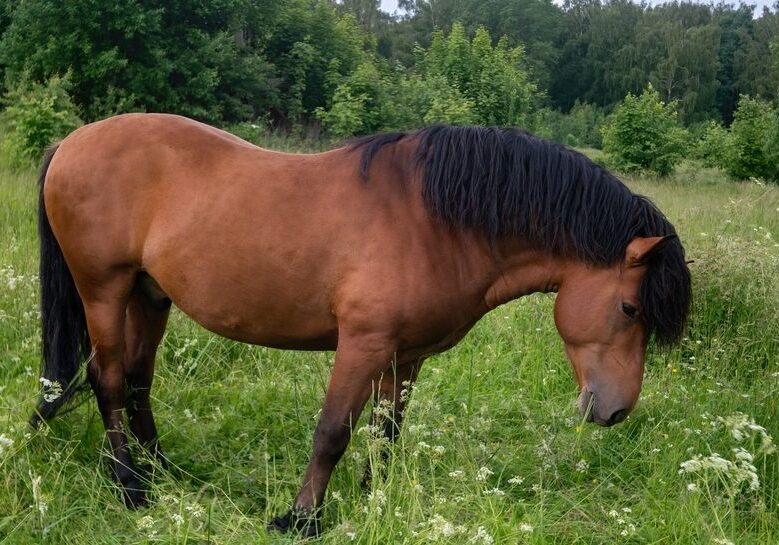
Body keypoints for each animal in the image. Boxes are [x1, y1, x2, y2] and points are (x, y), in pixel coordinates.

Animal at [32, 114, 691, 536]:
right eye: (631, 309)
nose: (615, 411)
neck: (436, 221)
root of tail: (72, 141)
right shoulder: (363, 345)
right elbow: (332, 432)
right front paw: (300, 519)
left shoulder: (407, 356)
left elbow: (384, 434)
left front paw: (377, 502)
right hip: (104, 291)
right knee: (109, 380)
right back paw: (131, 489)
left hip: (150, 296)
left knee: (138, 379)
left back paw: (162, 471)